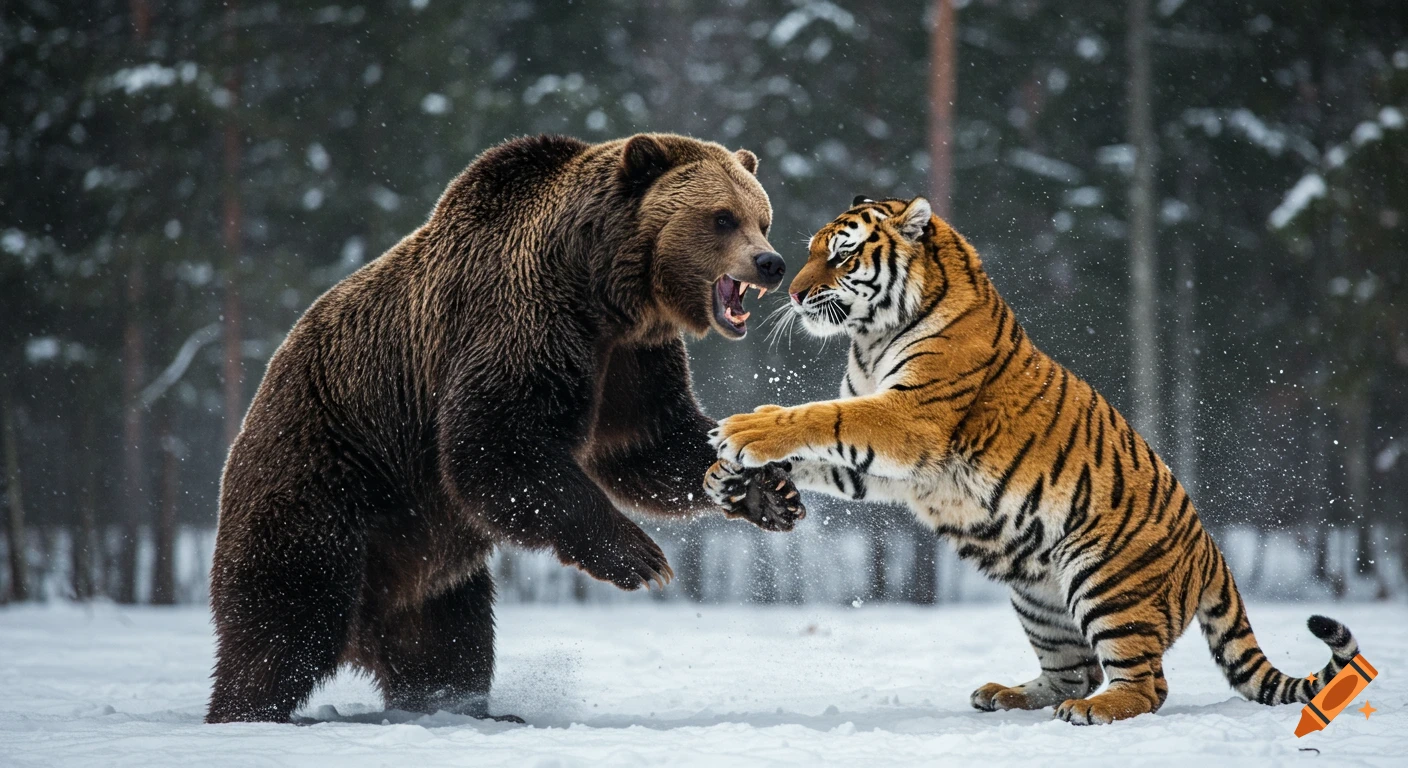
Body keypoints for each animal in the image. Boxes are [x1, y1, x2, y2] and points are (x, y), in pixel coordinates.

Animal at [206, 133, 806, 724]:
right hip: (327, 482)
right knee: (288, 619)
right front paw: (640, 557)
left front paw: (768, 491)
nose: (771, 262)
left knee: (446, 640)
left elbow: (648, 444)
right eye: (722, 217)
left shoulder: (631, 362)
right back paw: (247, 710)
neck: (606, 294)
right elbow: (496, 444)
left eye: (762, 217)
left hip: (422, 563)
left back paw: (460, 707)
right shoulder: (524, 324)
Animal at [704, 195, 1361, 724]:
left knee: (1145, 684)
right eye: (811, 252)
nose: (792, 292)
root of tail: (1211, 550)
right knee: (1076, 671)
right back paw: (1007, 694)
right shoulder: (889, 464)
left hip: (1106, 582)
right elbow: (820, 457)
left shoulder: (909, 418)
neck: (868, 338)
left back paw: (1095, 711)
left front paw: (744, 428)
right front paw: (728, 476)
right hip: (1038, 595)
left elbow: (822, 416)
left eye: (841, 256)